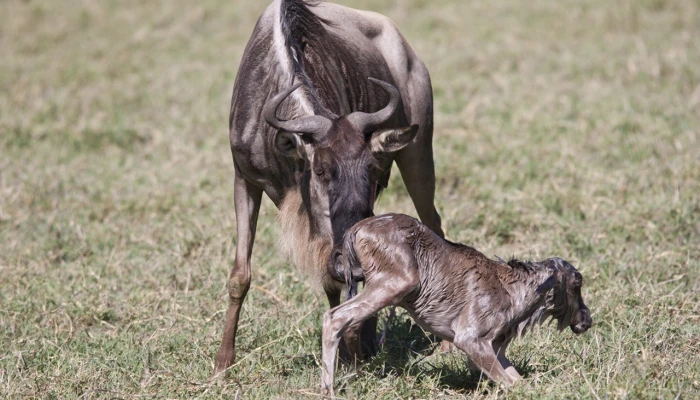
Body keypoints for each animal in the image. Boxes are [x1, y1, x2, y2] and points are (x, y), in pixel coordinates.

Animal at [322, 214, 592, 396]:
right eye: (577, 282)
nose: (586, 320)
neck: (516, 290)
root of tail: (356, 229)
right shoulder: (471, 340)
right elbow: (509, 382)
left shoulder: (495, 348)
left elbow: (517, 380)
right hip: (398, 282)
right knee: (334, 317)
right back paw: (328, 390)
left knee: (349, 323)